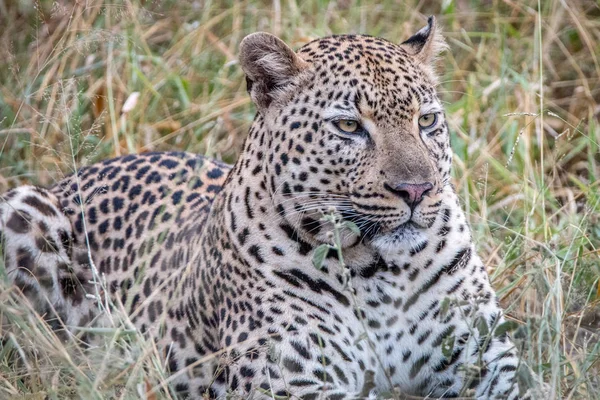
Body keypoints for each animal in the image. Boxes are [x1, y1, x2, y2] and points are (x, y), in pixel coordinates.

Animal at [0, 16, 544, 400]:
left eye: (426, 120)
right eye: (349, 126)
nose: (416, 190)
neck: (381, 271)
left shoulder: (486, 360)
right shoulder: (285, 383)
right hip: (23, 208)